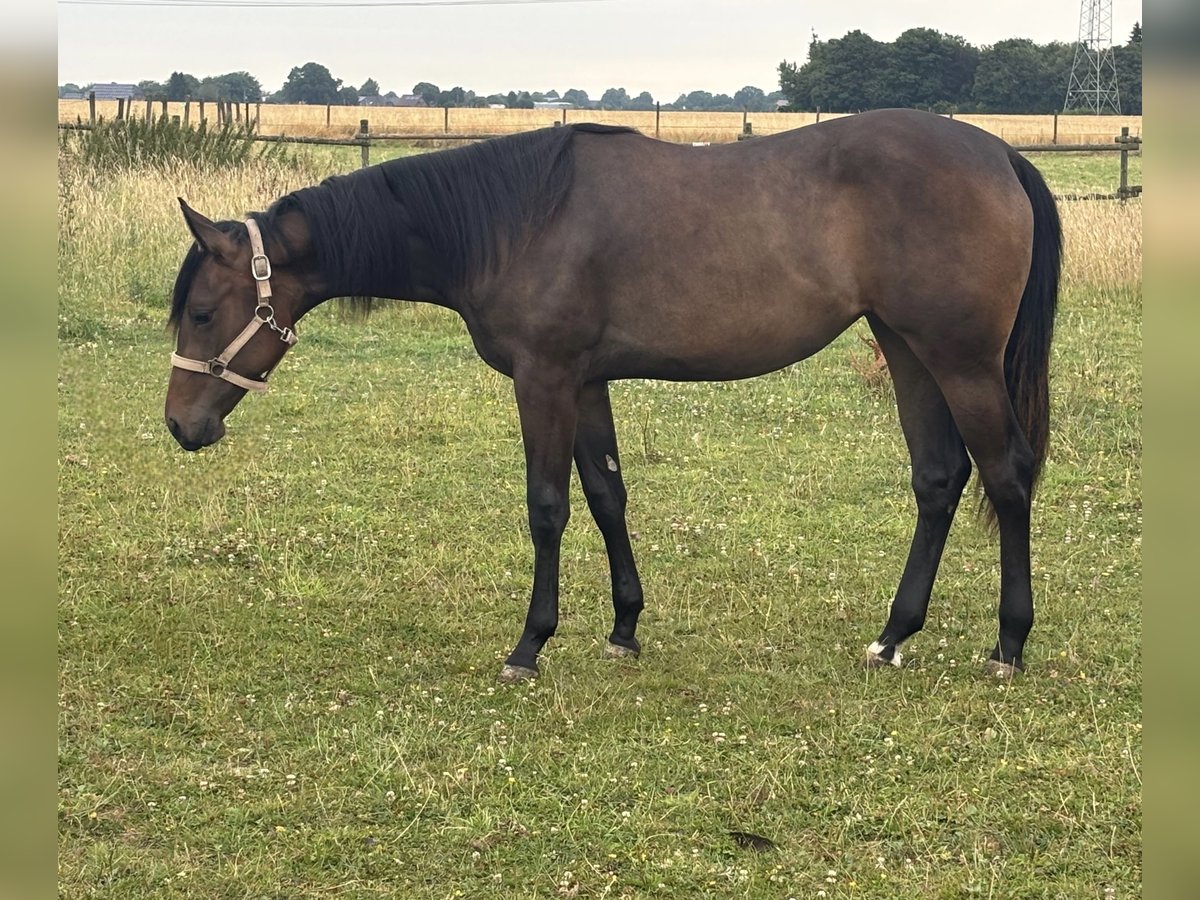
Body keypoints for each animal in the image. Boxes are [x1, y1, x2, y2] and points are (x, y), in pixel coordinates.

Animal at [164, 109, 1061, 682]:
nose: (181, 425)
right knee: (939, 479)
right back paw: (892, 636)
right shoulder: (588, 381)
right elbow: (606, 496)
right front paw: (625, 627)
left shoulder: (546, 378)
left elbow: (548, 507)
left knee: (1008, 476)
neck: (517, 222)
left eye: (203, 312)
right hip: (906, 348)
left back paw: (1008, 646)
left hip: (960, 359)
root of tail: (998, 156)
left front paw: (530, 645)